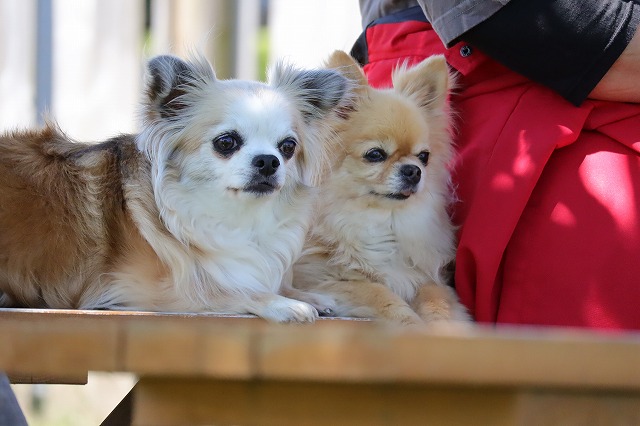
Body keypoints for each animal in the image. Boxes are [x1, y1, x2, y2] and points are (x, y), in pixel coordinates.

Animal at [0, 53, 353, 322]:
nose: (269, 161)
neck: (235, 217)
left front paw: (301, 294)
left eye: (288, 147)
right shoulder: (138, 289)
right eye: (226, 142)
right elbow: (223, 288)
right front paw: (283, 302)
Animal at [286, 51, 470, 325]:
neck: (381, 221)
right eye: (375, 154)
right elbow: (379, 294)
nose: (413, 170)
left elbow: (437, 302)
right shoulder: (320, 276)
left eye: (424, 157)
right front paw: (410, 323)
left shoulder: (427, 278)